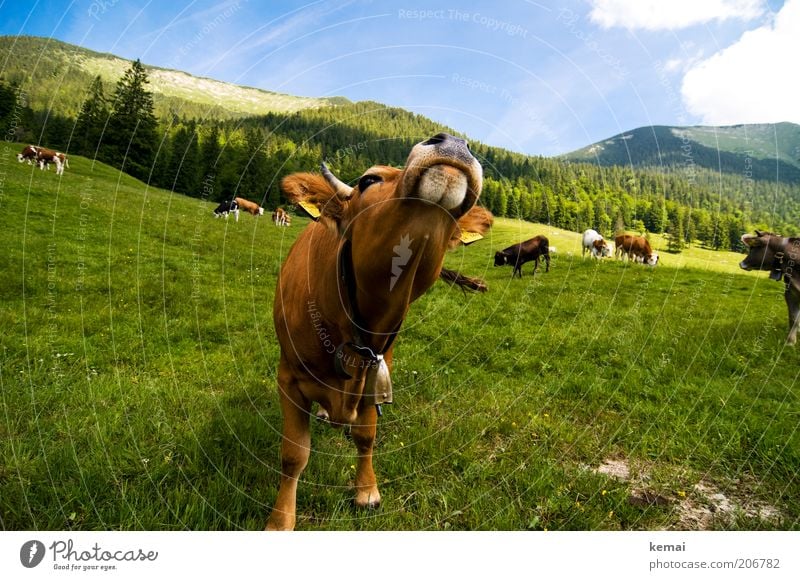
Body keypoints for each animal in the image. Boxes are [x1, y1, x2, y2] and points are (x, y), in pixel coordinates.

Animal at [268, 133, 490, 532]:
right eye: (368, 180)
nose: (453, 141)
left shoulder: (378, 368)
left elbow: (366, 436)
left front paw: (366, 490)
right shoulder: (288, 377)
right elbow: (293, 454)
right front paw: (280, 521)